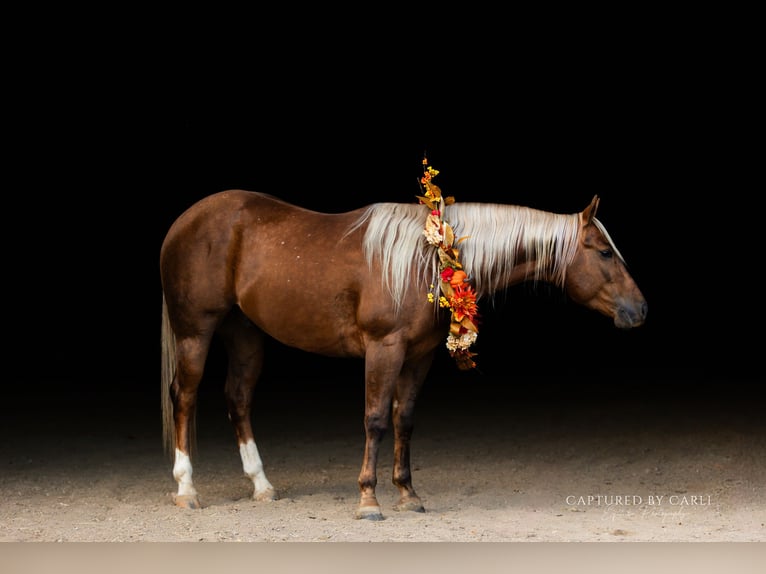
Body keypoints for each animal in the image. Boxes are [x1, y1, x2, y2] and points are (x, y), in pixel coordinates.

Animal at [159, 188, 647, 520]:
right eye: (605, 252)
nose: (639, 310)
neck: (427, 259)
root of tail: (185, 221)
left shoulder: (418, 356)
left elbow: (404, 420)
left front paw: (408, 495)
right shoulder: (385, 348)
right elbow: (376, 419)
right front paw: (368, 500)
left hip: (245, 335)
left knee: (238, 399)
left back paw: (261, 485)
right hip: (195, 332)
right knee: (184, 396)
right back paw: (186, 489)